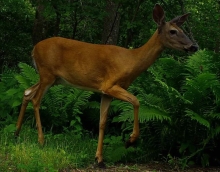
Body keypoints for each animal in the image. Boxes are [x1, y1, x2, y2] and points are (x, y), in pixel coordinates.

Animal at [14, 3, 199, 168]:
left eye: (183, 30)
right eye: (173, 31)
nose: (194, 46)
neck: (131, 60)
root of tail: (33, 49)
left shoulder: (106, 93)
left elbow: (102, 122)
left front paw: (99, 159)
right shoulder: (110, 85)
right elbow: (136, 101)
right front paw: (130, 141)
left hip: (52, 78)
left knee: (27, 92)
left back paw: (16, 133)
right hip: (47, 74)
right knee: (36, 100)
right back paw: (41, 140)